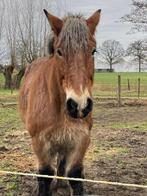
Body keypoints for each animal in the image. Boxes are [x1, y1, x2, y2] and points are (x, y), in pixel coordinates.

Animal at [18, 8, 101, 195]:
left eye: (93, 51)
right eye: (59, 52)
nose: (79, 105)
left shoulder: (80, 140)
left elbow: (75, 175)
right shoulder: (40, 142)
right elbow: (44, 175)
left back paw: (61, 183)